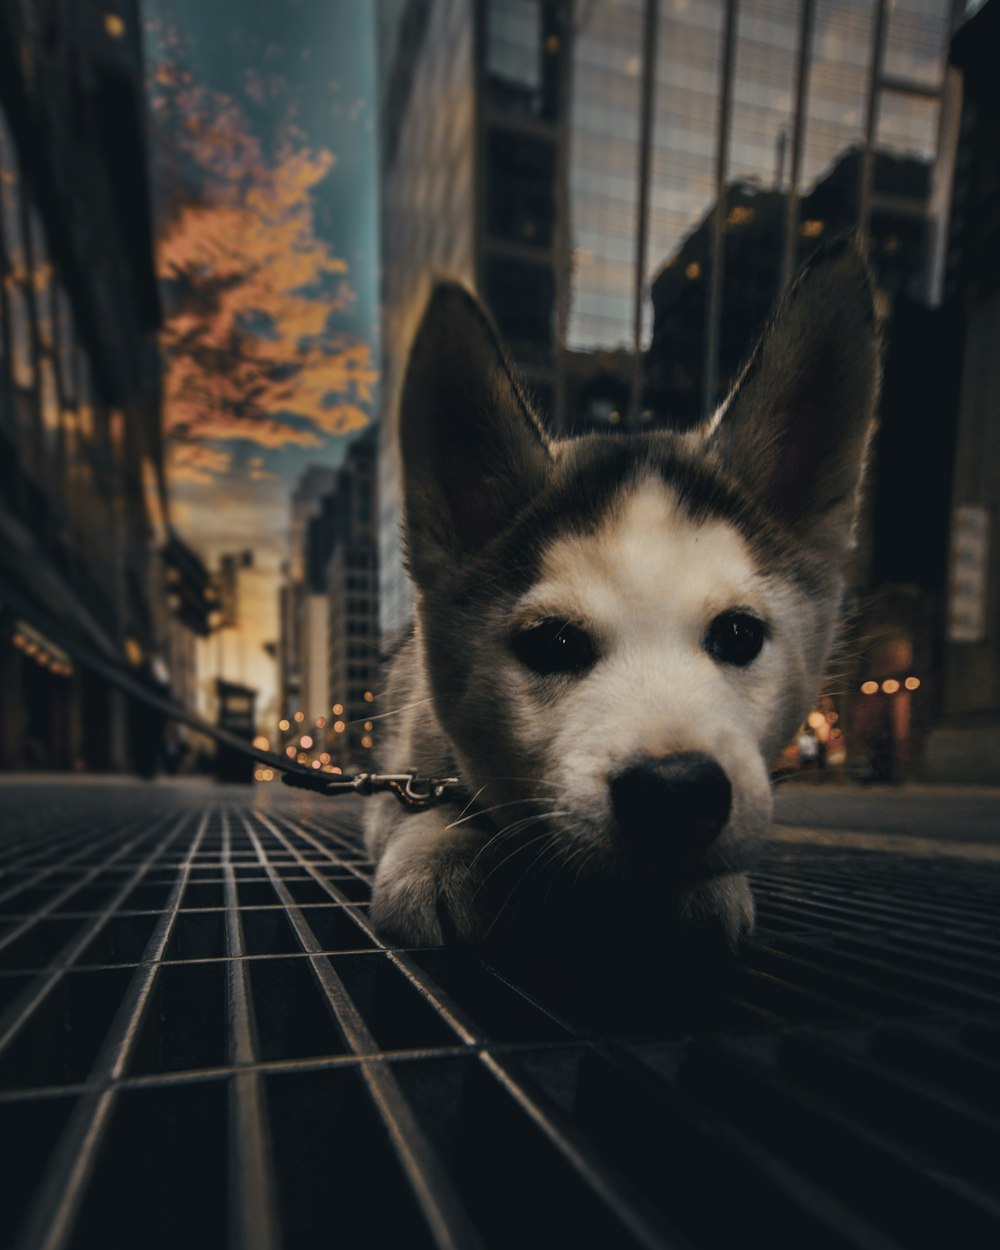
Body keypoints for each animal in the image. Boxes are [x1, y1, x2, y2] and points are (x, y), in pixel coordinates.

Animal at [362, 238, 880, 950]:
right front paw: (434, 851)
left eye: (739, 633)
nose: (676, 792)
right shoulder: (400, 774)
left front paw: (709, 887)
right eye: (553, 642)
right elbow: (420, 806)